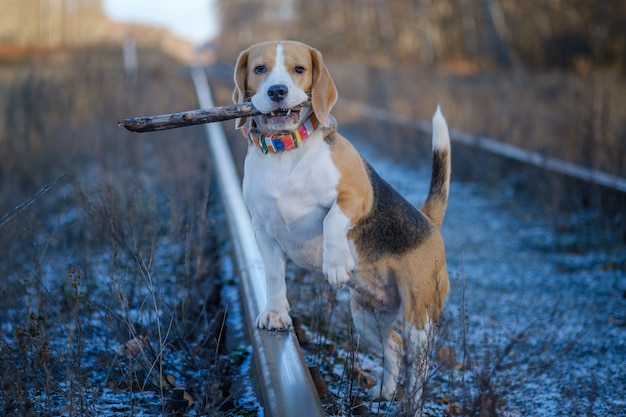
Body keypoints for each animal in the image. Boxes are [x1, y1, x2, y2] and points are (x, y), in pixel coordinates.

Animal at [234, 39, 448, 412]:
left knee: (419, 370)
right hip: (365, 316)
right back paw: (384, 392)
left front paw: (334, 265)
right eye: (260, 69)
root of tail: (427, 221)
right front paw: (275, 314)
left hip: (418, 317)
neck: (284, 150)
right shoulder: (262, 229)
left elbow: (333, 217)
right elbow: (273, 276)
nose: (277, 92)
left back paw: (410, 407)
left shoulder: (357, 195)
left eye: (299, 69)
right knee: (393, 346)